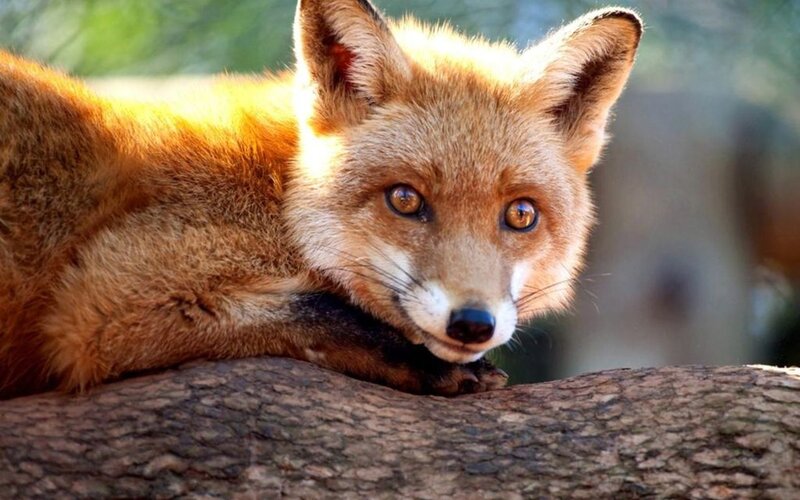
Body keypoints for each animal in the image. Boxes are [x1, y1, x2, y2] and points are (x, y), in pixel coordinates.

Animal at [0, 0, 641, 399]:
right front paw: (425, 366)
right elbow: (321, 310)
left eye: (520, 214)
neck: (277, 193)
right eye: (405, 200)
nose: (472, 325)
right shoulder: (106, 301)